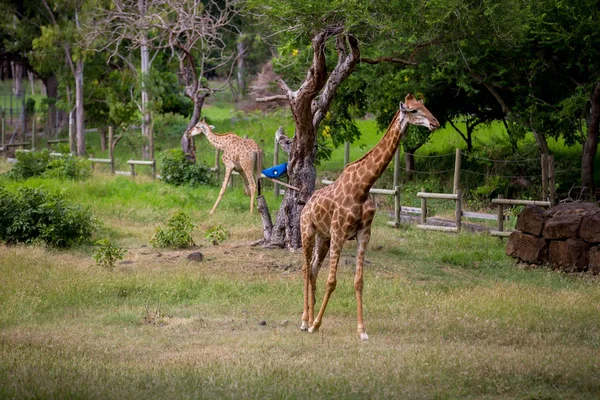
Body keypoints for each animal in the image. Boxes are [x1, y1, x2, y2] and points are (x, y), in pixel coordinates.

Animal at [300, 94, 440, 340]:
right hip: (307, 230)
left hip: (323, 237)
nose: (435, 123)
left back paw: (309, 317)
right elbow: (332, 281)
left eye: (425, 106)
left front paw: (362, 331)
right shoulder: (339, 232)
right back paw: (305, 320)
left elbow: (359, 282)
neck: (363, 187)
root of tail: (306, 205)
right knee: (306, 269)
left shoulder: (363, 233)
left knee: (314, 270)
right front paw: (316, 324)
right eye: (413, 110)